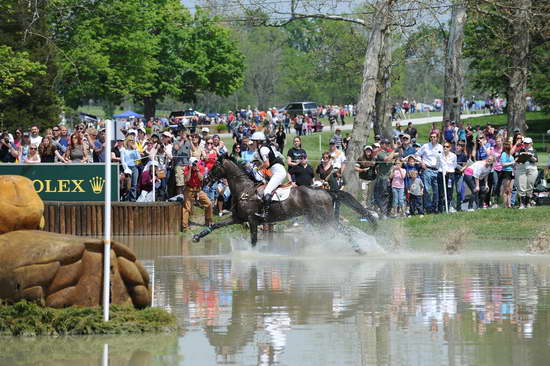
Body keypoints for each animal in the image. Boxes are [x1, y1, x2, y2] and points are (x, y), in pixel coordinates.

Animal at [194, 155, 380, 254]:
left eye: (214, 166)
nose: (204, 180)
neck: (244, 189)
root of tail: (326, 191)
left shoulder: (252, 220)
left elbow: (254, 240)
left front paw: (253, 255)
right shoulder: (238, 218)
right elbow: (215, 225)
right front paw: (197, 236)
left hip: (324, 219)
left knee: (345, 230)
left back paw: (360, 249)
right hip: (317, 220)